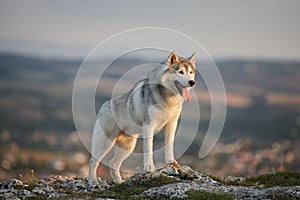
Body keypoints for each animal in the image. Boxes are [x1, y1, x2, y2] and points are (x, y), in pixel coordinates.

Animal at [88, 51, 197, 184]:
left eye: (191, 72)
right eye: (180, 72)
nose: (192, 83)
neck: (168, 99)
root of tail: (104, 105)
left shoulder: (171, 124)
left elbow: (169, 146)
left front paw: (171, 162)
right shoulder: (149, 126)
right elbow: (148, 149)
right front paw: (149, 167)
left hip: (128, 147)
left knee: (113, 163)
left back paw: (119, 183)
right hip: (105, 144)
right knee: (93, 161)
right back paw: (93, 182)